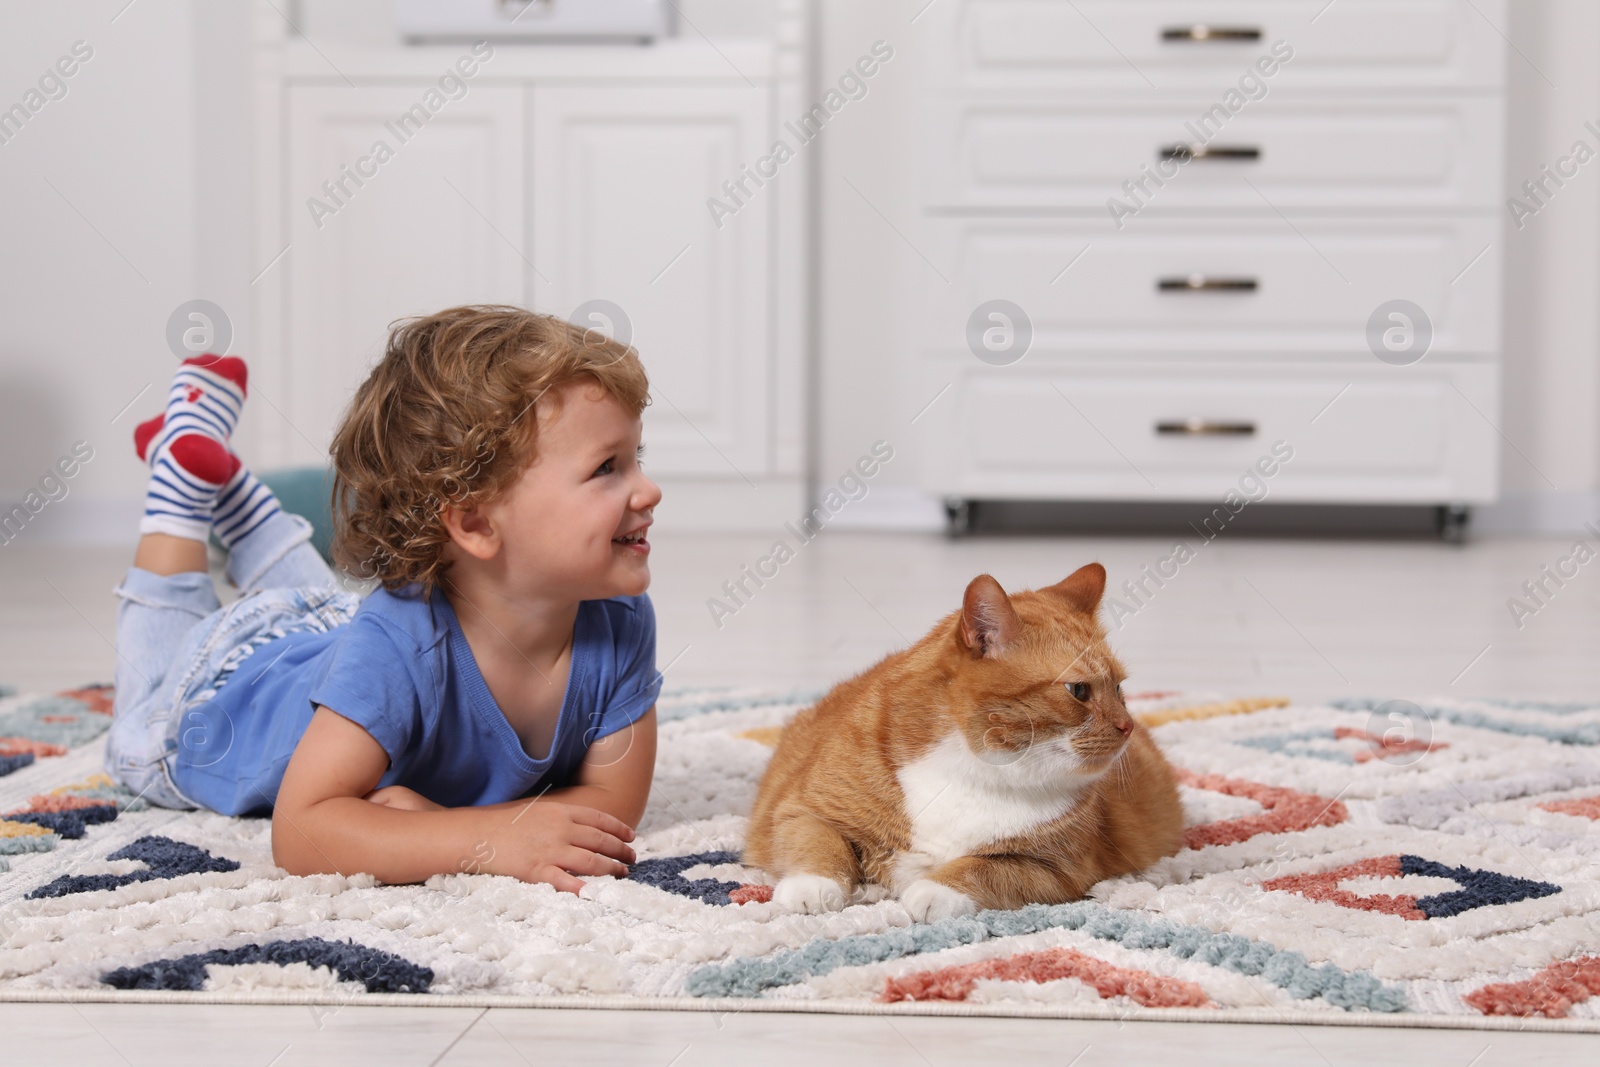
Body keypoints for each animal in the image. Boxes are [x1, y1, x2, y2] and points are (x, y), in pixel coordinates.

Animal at [742, 563, 1184, 921]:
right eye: (1078, 691)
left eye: (1119, 688)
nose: (1127, 725)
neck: (978, 767)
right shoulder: (802, 808)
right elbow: (820, 844)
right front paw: (812, 887)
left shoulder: (1054, 869)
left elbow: (983, 868)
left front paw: (933, 892)